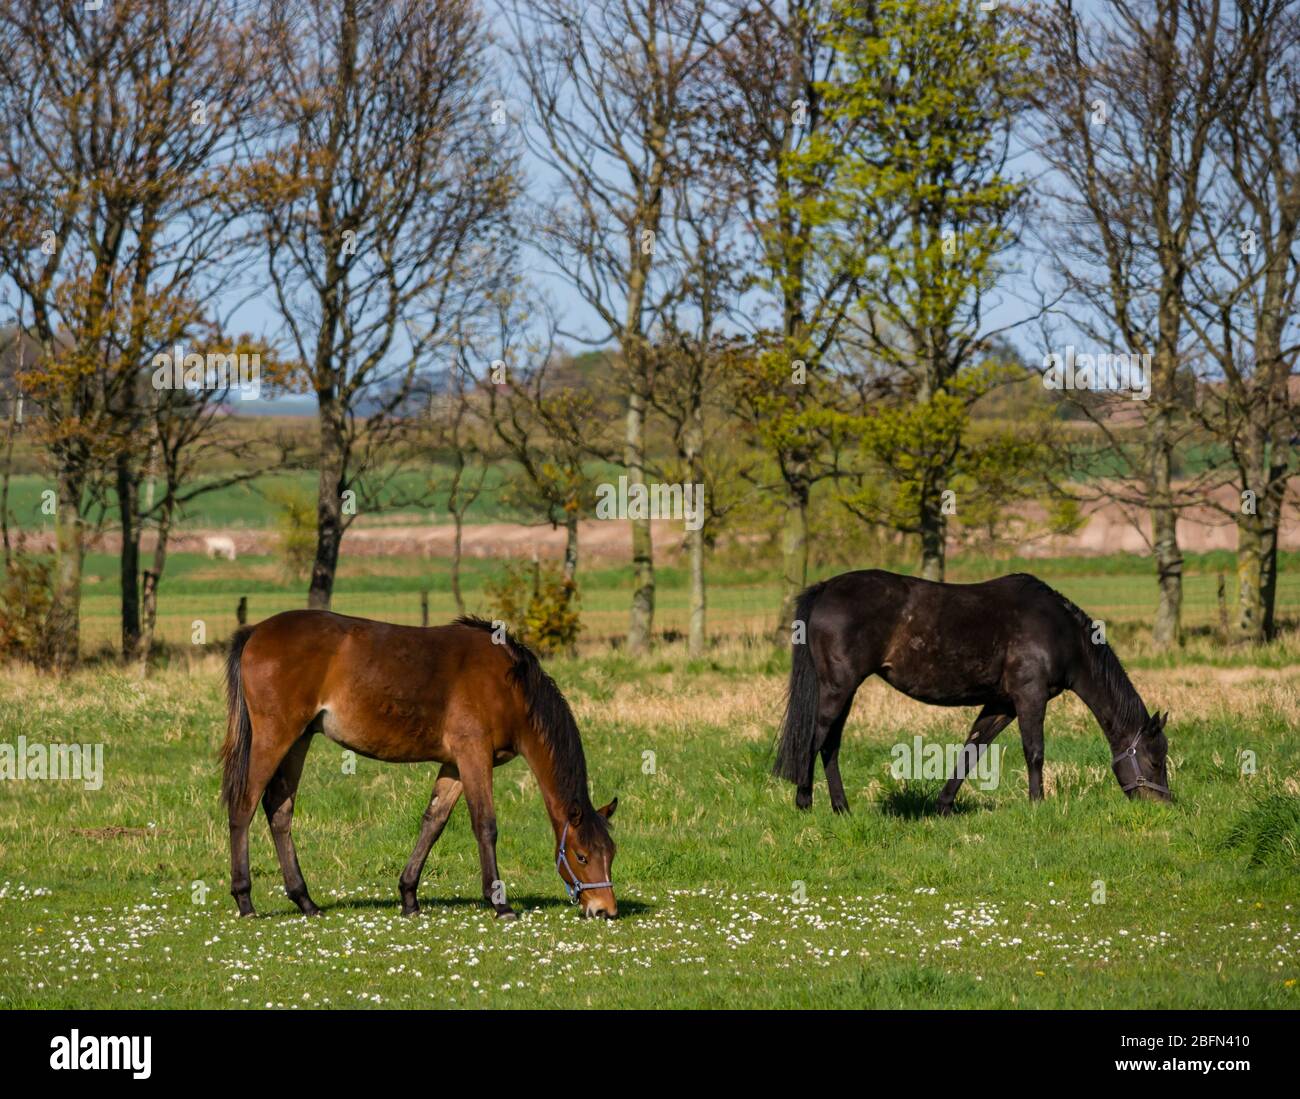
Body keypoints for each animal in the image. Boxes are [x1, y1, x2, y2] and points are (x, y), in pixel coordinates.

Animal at [220, 612, 618, 920]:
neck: (508, 685)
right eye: (582, 856)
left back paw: (305, 900)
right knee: (244, 806)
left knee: (279, 810)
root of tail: (255, 632)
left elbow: (433, 822)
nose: (605, 909)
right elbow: (485, 825)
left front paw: (409, 896)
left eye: (610, 854)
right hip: (276, 738)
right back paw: (245, 900)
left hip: (299, 740)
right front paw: (499, 903)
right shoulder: (474, 755)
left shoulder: (455, 764)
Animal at [773, 570, 1171, 814]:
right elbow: (1034, 752)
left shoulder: (1001, 704)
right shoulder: (1030, 696)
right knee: (816, 740)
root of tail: (825, 588)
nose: (1163, 804)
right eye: (1155, 760)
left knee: (829, 744)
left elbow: (972, 750)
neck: (1058, 630)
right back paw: (805, 801)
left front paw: (944, 806)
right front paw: (1038, 804)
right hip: (838, 688)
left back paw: (841, 808)